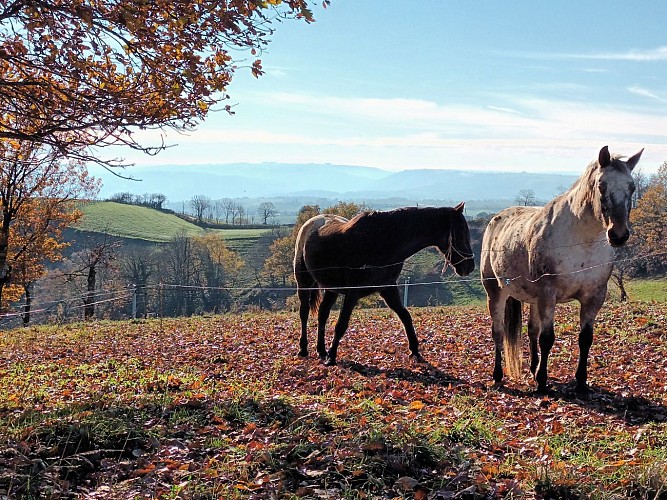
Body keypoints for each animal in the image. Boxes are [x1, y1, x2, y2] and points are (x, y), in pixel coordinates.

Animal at [292, 201, 474, 366]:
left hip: (332, 288)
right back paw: (304, 349)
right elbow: (341, 325)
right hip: (304, 282)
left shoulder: (388, 289)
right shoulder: (352, 293)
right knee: (304, 312)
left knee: (323, 313)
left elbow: (405, 316)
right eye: (461, 233)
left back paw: (321, 350)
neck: (381, 242)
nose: (470, 266)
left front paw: (415, 351)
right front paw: (332, 357)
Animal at [482, 146, 644, 392]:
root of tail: (496, 220)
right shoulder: (549, 294)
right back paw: (498, 375)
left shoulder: (594, 297)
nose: (618, 235)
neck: (582, 242)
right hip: (496, 292)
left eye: (631, 187)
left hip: (532, 298)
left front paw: (581, 382)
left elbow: (585, 338)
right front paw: (542, 381)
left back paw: (533, 368)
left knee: (531, 330)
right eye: (601, 185)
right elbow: (547, 338)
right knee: (498, 332)